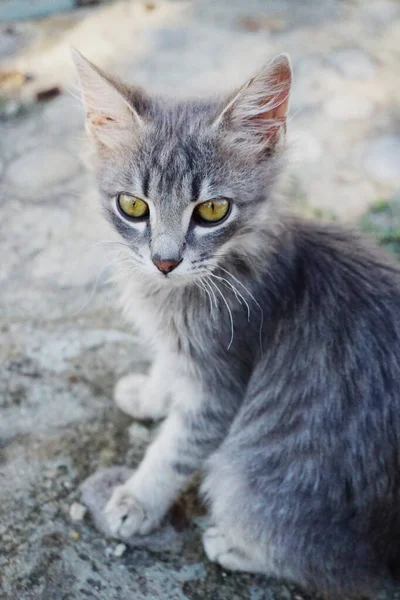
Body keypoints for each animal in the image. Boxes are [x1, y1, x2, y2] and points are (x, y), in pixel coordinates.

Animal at [73, 50, 400, 596]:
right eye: (133, 206)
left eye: (212, 210)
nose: (164, 261)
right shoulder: (182, 350)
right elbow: (166, 369)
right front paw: (149, 394)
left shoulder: (222, 383)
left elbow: (175, 448)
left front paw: (137, 500)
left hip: (252, 477)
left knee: (332, 566)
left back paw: (234, 545)